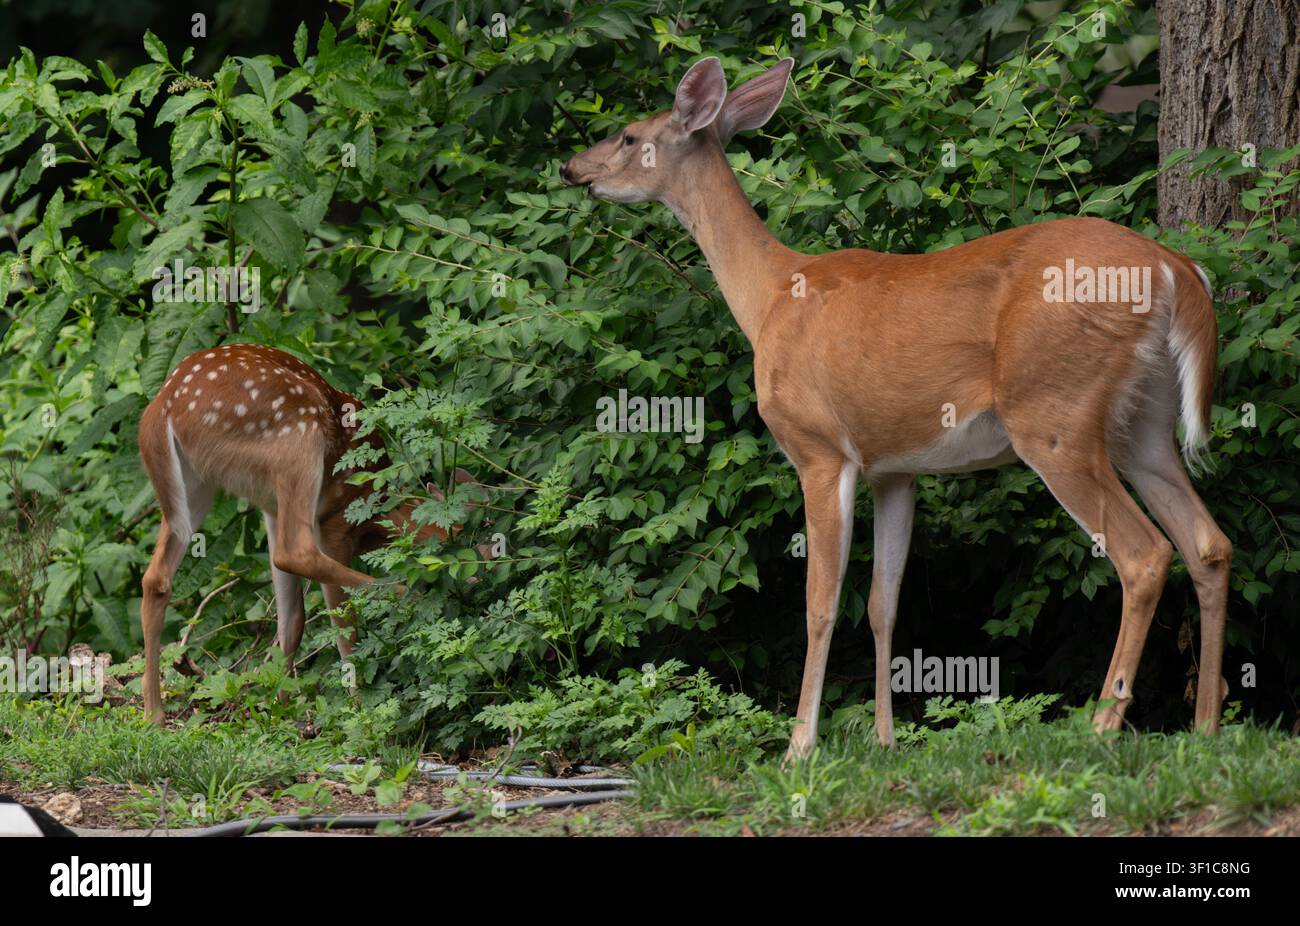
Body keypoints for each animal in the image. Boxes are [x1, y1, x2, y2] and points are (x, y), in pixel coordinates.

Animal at [137, 343, 484, 725]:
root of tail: (163, 406)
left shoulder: (270, 509)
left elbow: (293, 618)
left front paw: (280, 708)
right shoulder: (337, 521)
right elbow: (341, 617)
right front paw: (360, 712)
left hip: (197, 486)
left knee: (156, 577)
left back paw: (154, 715)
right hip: (298, 439)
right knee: (296, 553)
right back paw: (412, 595)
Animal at [561, 57, 1232, 758]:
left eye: (630, 136)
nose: (571, 168)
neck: (769, 299)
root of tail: (1176, 270)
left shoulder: (820, 449)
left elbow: (821, 601)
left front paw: (799, 747)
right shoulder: (895, 468)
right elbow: (883, 602)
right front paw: (884, 740)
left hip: (1054, 415)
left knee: (1145, 554)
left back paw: (1102, 726)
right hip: (1143, 422)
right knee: (1208, 544)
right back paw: (1206, 726)